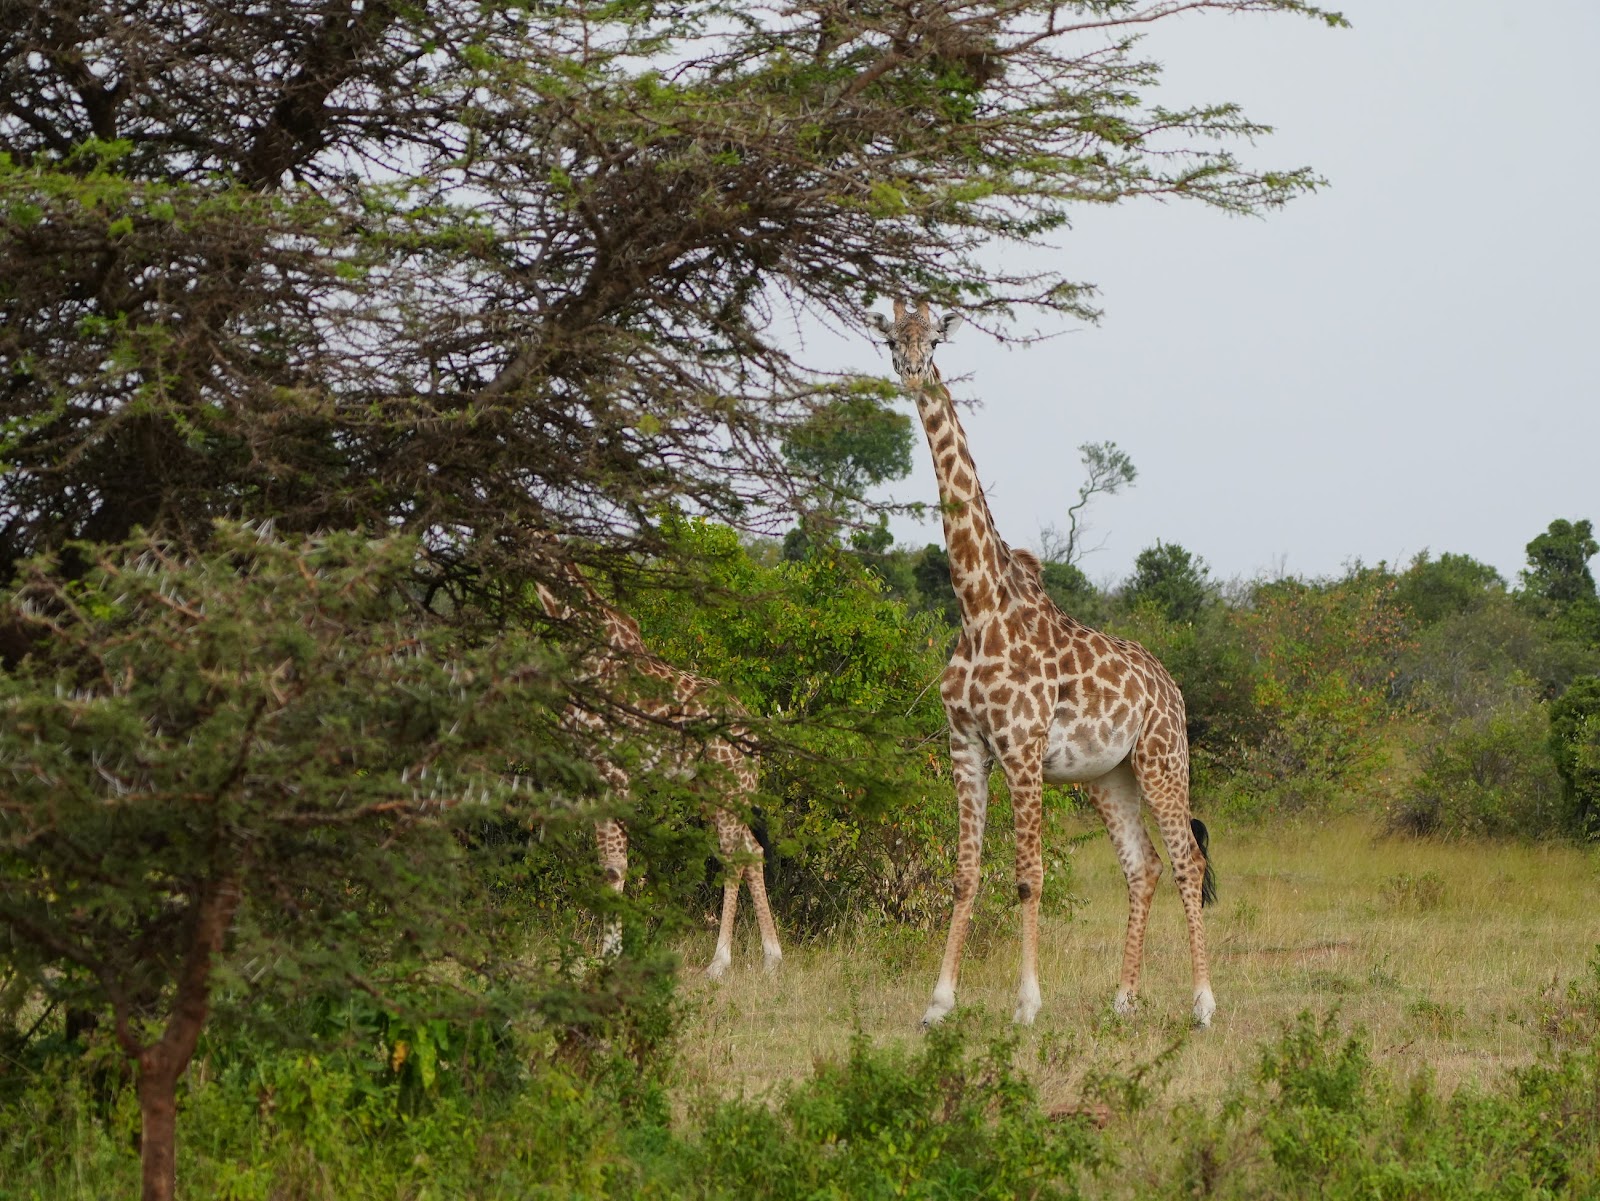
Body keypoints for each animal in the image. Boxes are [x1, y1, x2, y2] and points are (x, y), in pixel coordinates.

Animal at [540, 550, 784, 978]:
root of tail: (754, 737)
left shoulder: (616, 770)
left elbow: (615, 864)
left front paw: (609, 956)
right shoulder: (590, 772)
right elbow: (605, 863)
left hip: (729, 785)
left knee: (733, 857)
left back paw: (718, 964)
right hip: (709, 789)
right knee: (753, 850)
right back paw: (772, 959)